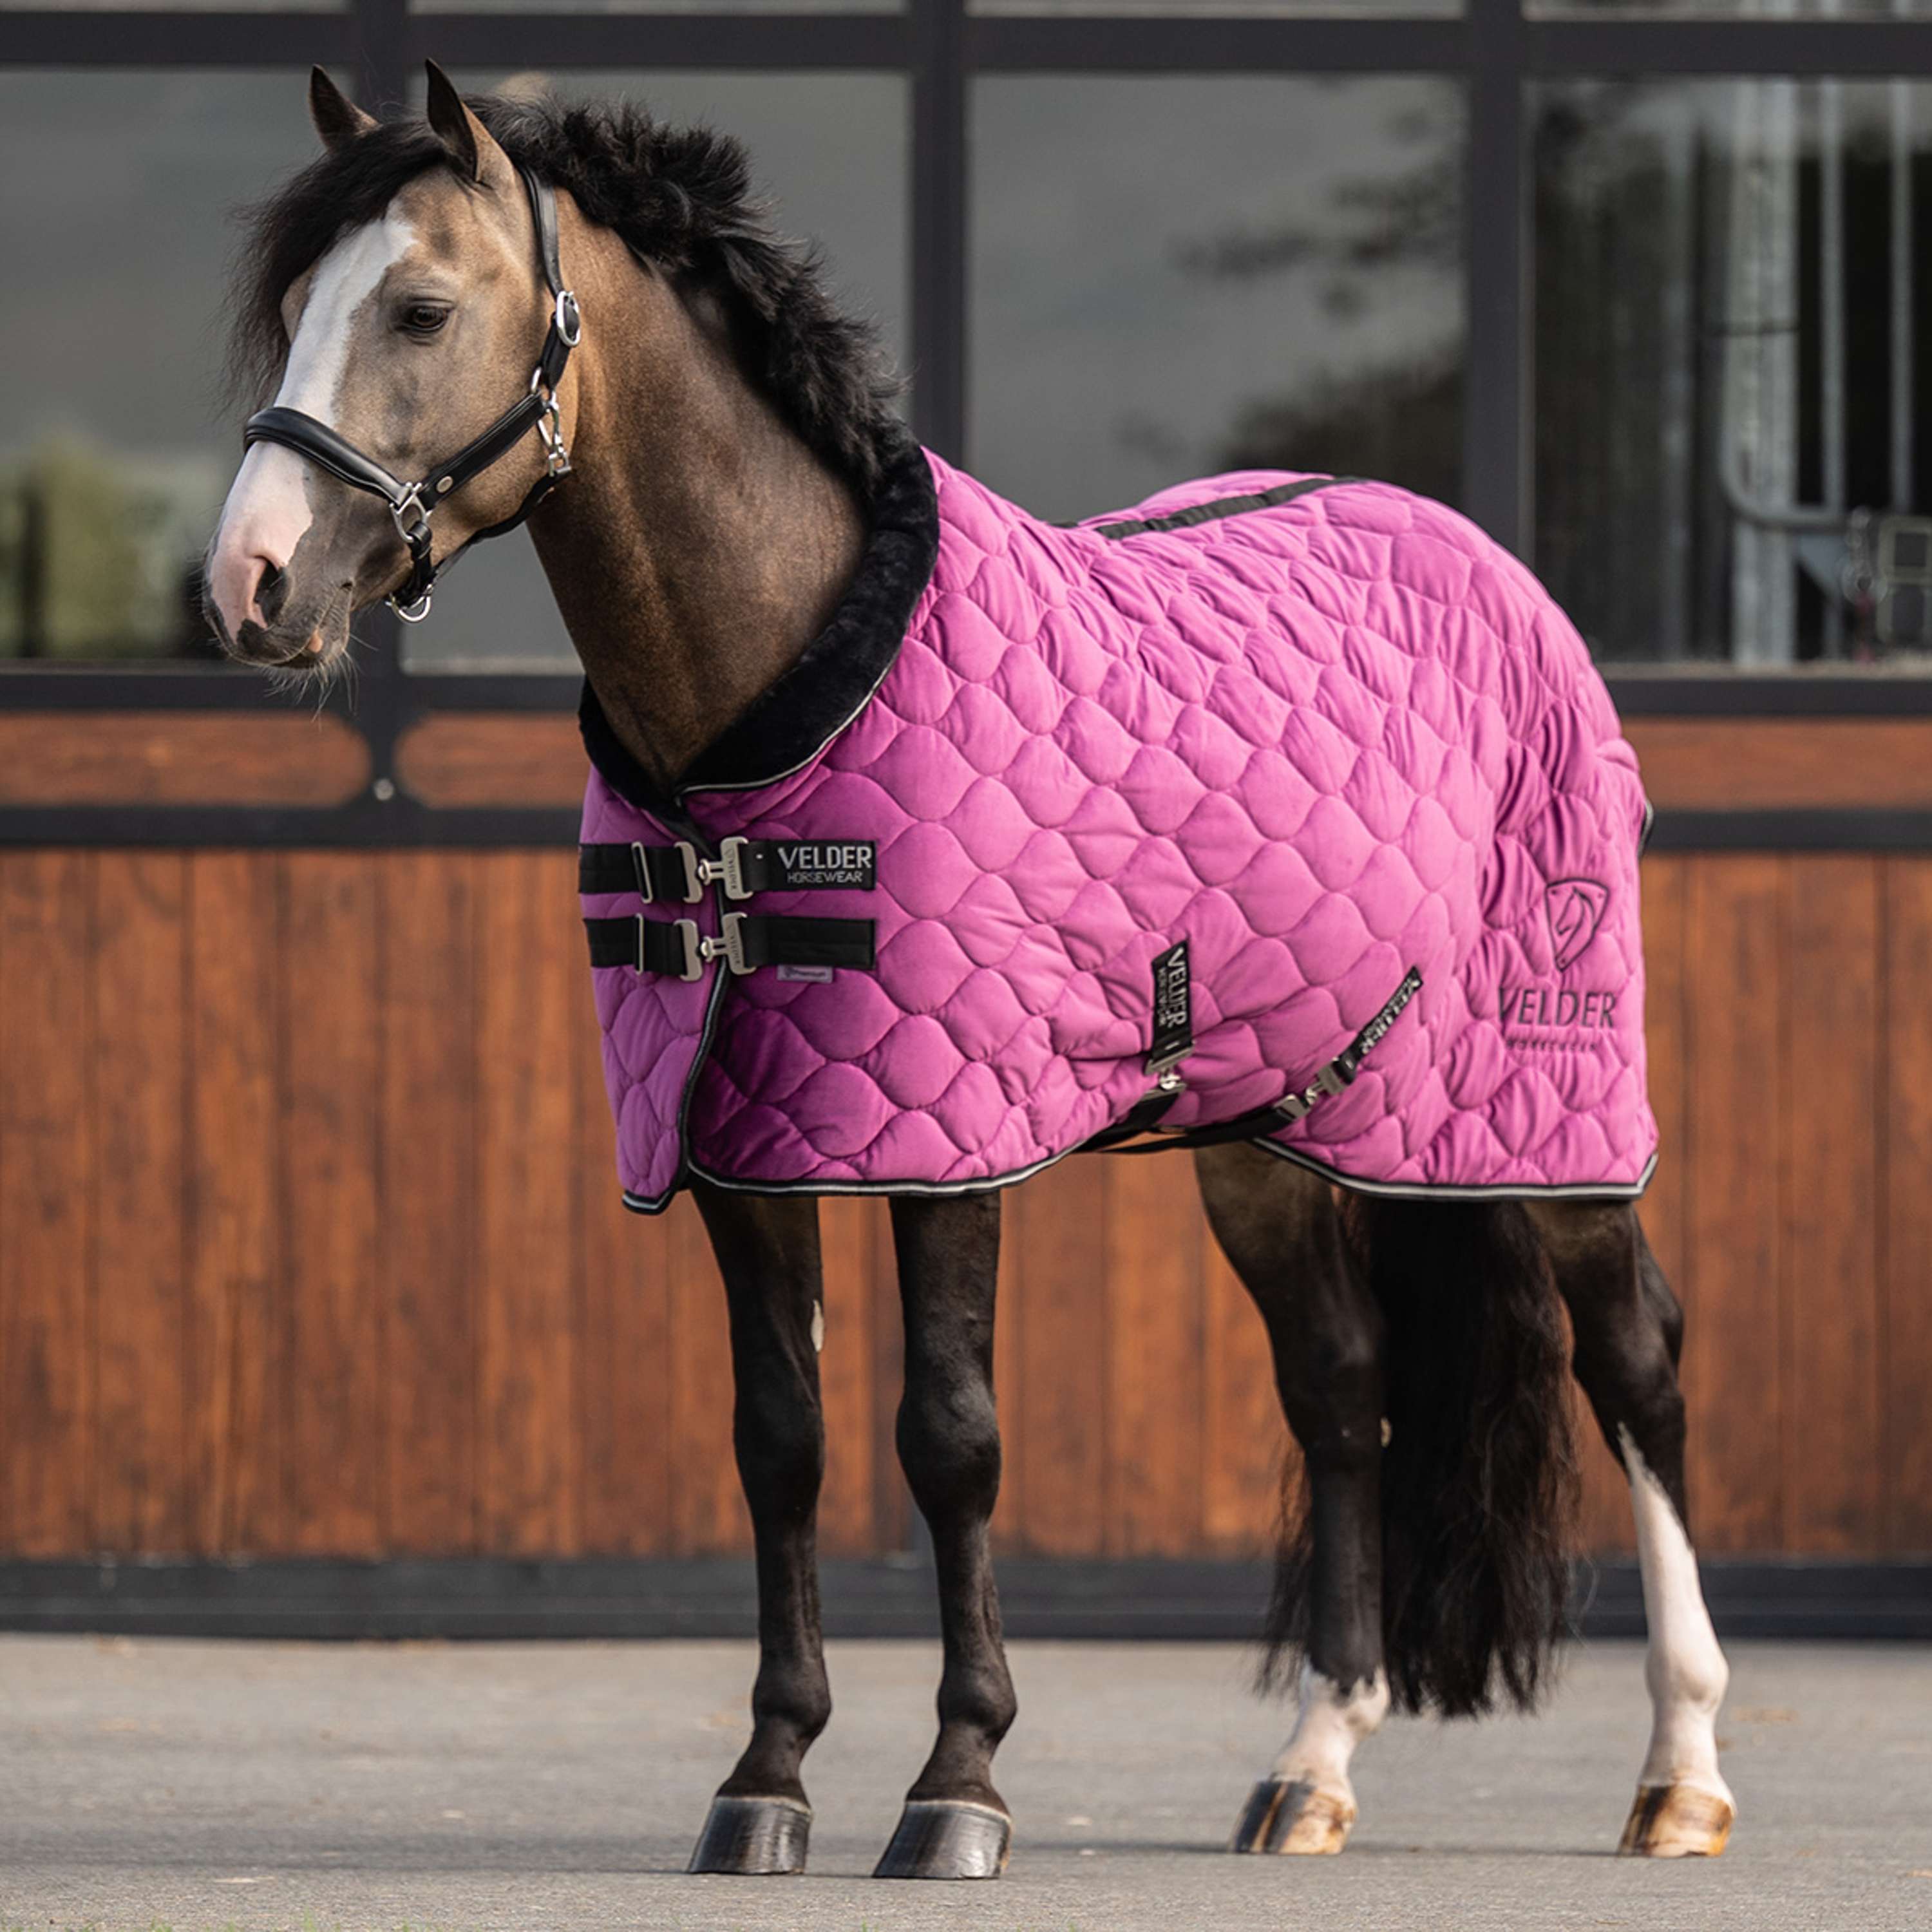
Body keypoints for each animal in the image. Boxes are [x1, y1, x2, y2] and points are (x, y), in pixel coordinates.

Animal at [203, 64, 1736, 1878]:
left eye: (422, 307)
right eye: (292, 303)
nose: (248, 585)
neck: (784, 693)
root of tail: (1482, 562)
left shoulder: (950, 1138)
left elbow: (949, 1438)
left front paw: (959, 1785)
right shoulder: (742, 1141)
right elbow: (779, 1441)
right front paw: (766, 1780)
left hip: (1551, 1105)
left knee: (1633, 1362)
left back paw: (1681, 1772)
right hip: (1275, 1129)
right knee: (1341, 1386)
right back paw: (1314, 1766)